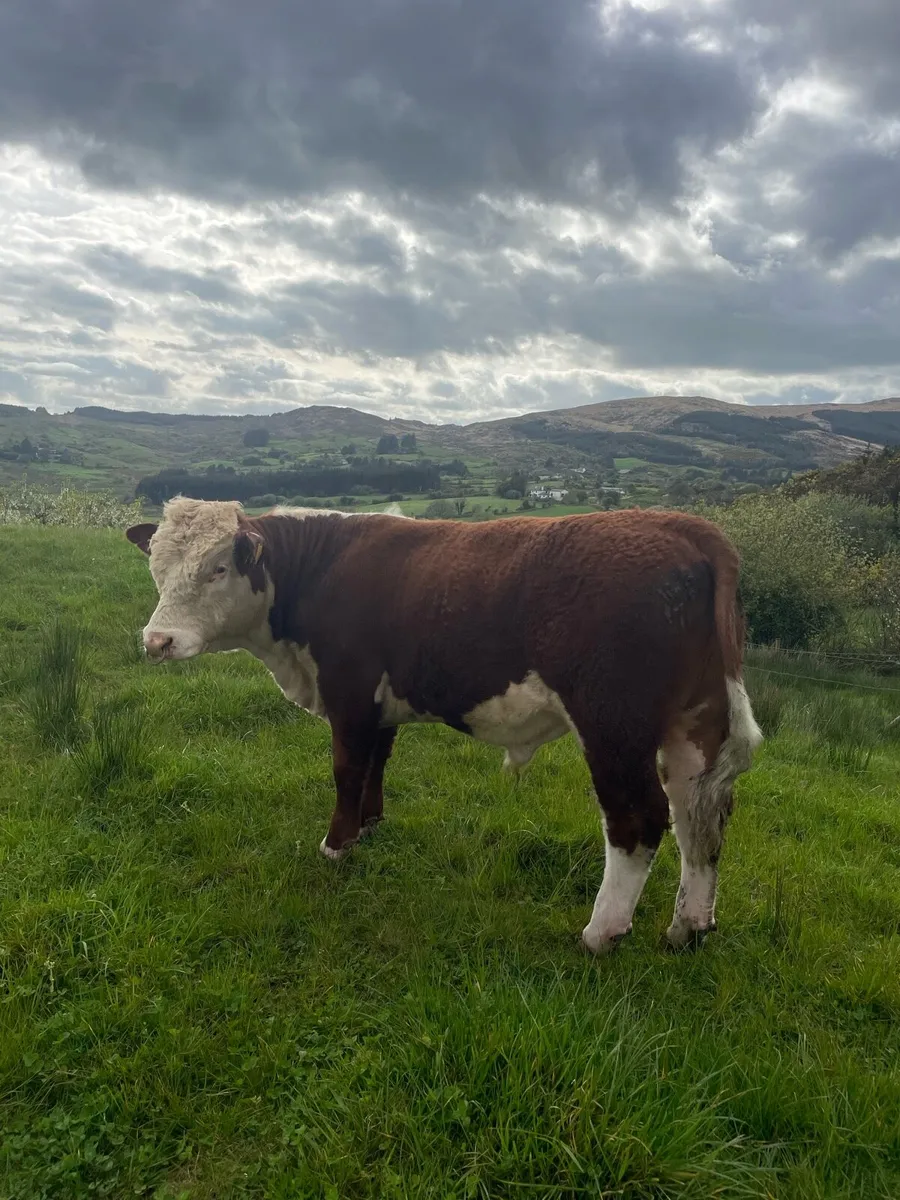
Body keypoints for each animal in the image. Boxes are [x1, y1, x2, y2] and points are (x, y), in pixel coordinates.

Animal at [126, 497, 762, 954]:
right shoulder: (380, 701)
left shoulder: (349, 689)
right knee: (700, 813)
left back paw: (600, 933)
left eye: (218, 568)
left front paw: (335, 847)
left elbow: (347, 768)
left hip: (612, 724)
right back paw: (689, 927)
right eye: (156, 566)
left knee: (639, 817)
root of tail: (681, 524)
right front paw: (369, 826)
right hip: (695, 722)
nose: (157, 641)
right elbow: (376, 763)